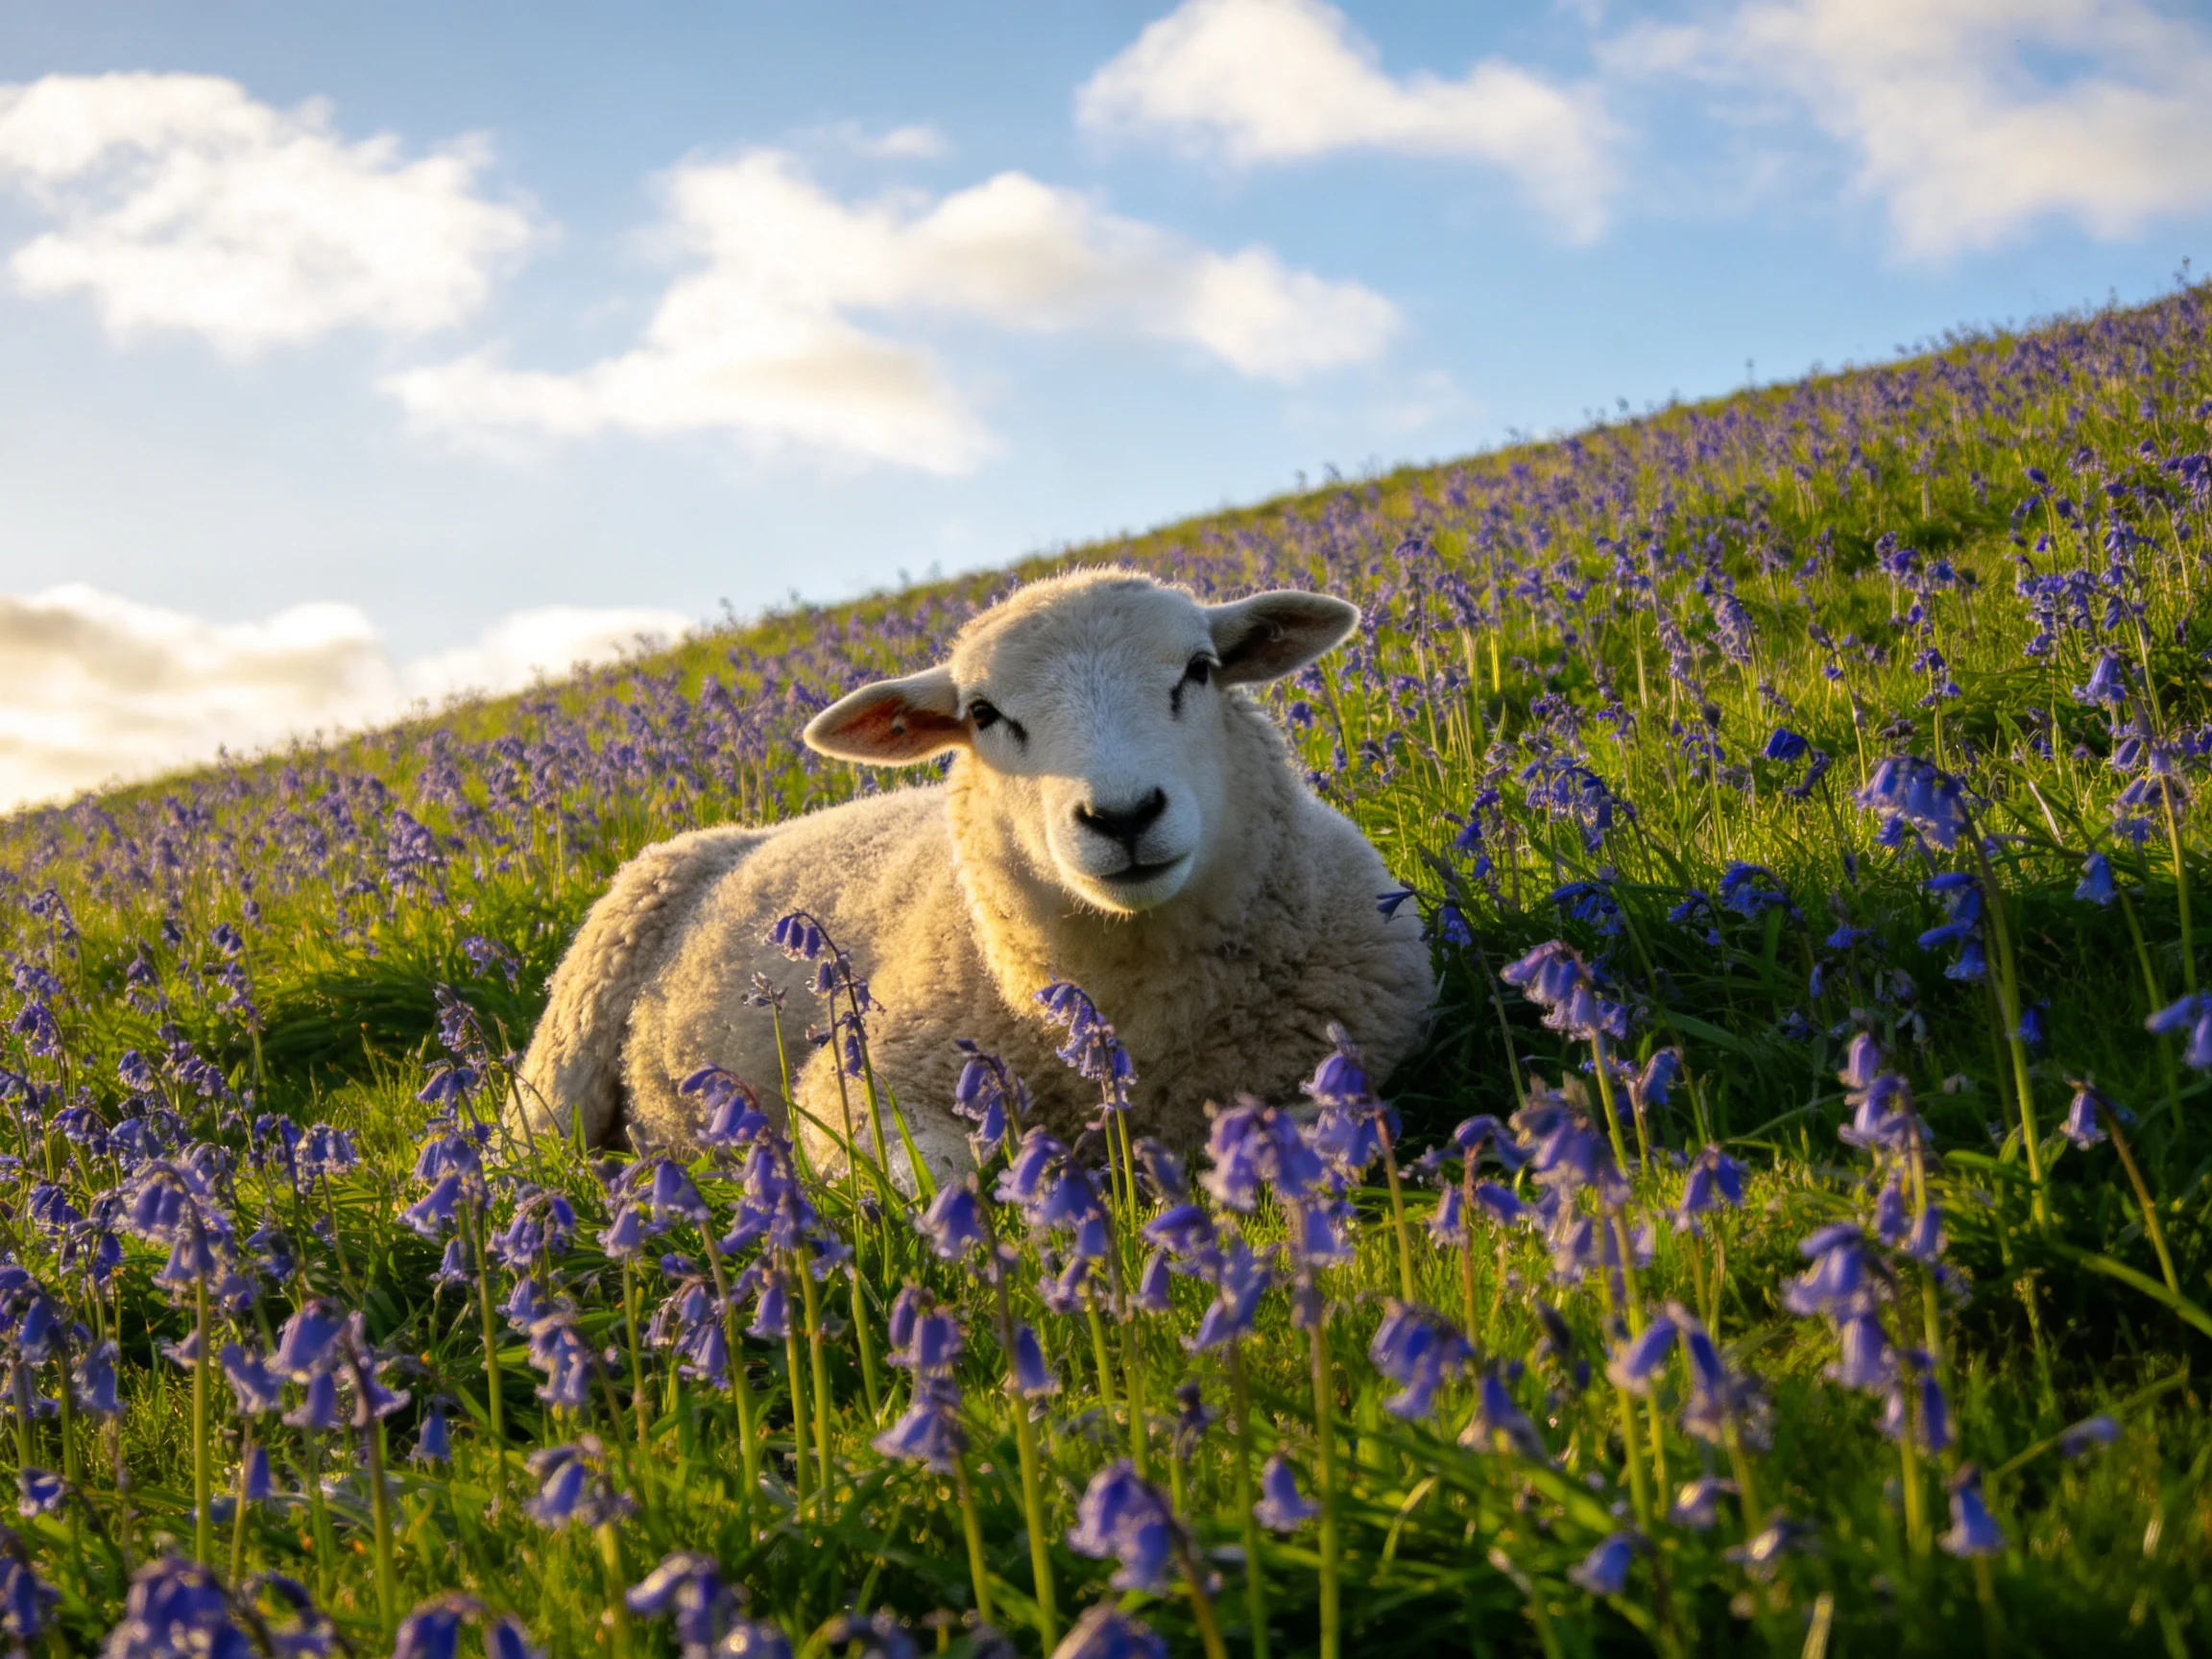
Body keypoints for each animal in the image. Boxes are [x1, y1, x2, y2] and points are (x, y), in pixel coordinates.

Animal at [509, 567, 1434, 1184]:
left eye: (1200, 670)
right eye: (984, 715)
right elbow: (942, 1182)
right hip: (556, 1076)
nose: (1123, 816)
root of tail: (723, 836)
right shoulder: (860, 1085)